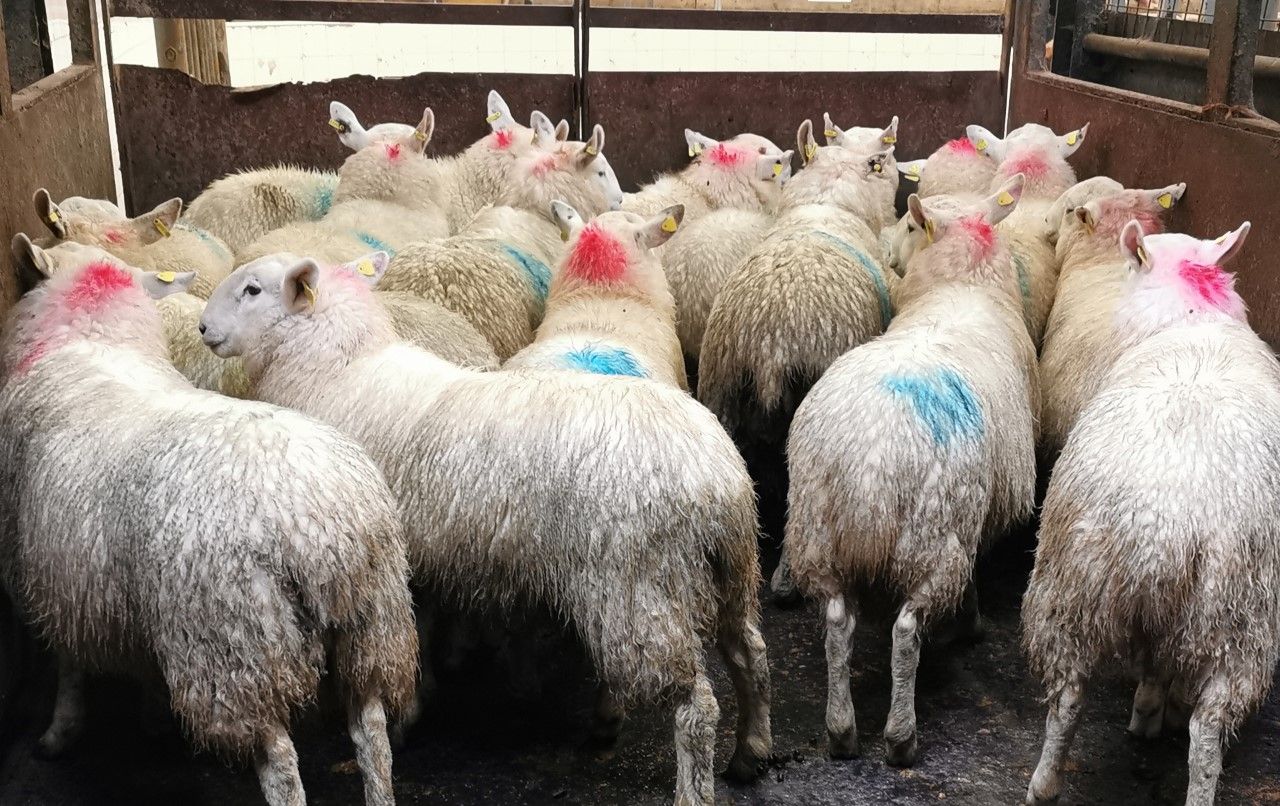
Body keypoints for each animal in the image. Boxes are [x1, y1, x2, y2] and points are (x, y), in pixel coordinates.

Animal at [0, 254, 418, 806]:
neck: (95, 341)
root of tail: (316, 524)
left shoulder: (55, 575)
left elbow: (67, 664)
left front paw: (58, 734)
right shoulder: (113, 591)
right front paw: (153, 717)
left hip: (234, 646)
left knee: (281, 766)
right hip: (372, 626)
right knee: (372, 737)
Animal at [198, 252, 773, 805]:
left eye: (252, 289)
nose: (203, 328)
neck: (338, 370)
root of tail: (716, 475)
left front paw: (408, 712)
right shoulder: (420, 555)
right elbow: (426, 626)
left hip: (641, 582)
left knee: (696, 706)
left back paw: (689, 786)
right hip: (729, 570)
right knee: (751, 654)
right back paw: (752, 751)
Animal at [785, 176, 1037, 767]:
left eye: (904, 224)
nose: (885, 244)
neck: (962, 286)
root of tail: (872, 460)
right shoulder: (975, 519)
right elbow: (975, 572)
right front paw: (972, 621)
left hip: (817, 530)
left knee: (837, 625)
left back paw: (841, 730)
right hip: (934, 536)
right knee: (905, 633)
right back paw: (901, 735)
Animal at [1022, 219, 1280, 806]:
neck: (1196, 317)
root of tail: (1166, 521)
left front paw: (1147, 710)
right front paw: (1151, 709)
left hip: (1077, 585)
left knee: (1074, 699)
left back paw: (1044, 783)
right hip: (1230, 616)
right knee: (1201, 728)